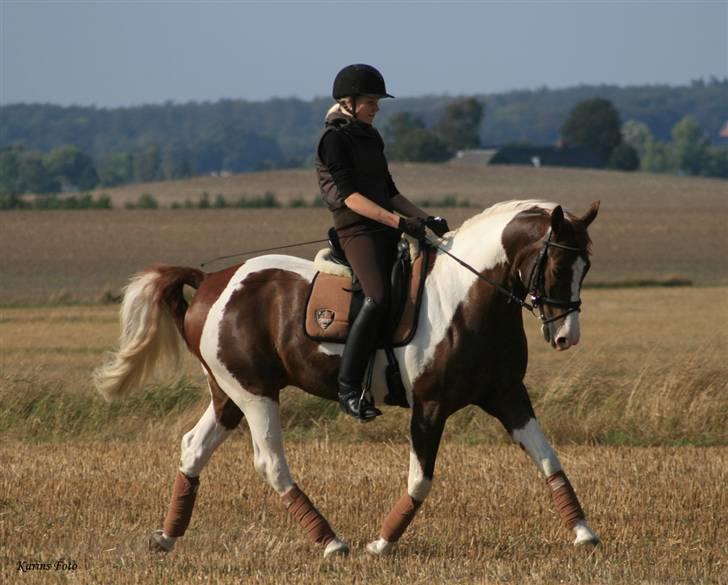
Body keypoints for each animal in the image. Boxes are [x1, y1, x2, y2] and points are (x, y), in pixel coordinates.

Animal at [94, 198, 600, 556]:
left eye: (586, 267)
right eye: (558, 265)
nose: (567, 337)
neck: (470, 297)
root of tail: (211, 282)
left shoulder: (508, 395)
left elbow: (549, 460)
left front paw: (583, 533)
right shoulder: (430, 406)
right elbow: (421, 479)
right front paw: (382, 543)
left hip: (228, 395)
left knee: (193, 448)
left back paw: (166, 536)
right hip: (255, 393)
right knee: (270, 463)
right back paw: (331, 542)